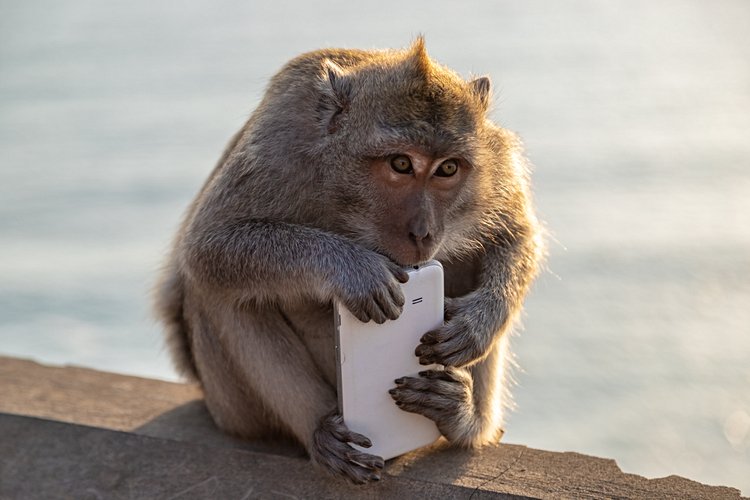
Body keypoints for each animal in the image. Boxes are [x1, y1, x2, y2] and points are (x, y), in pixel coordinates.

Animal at [154, 39, 540, 484]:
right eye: (401, 164)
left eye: (447, 168)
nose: (423, 232)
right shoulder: (279, 149)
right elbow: (208, 246)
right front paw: (354, 269)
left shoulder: (494, 159)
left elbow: (513, 232)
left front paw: (477, 324)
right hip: (232, 409)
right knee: (217, 293)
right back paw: (320, 430)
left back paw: (462, 419)